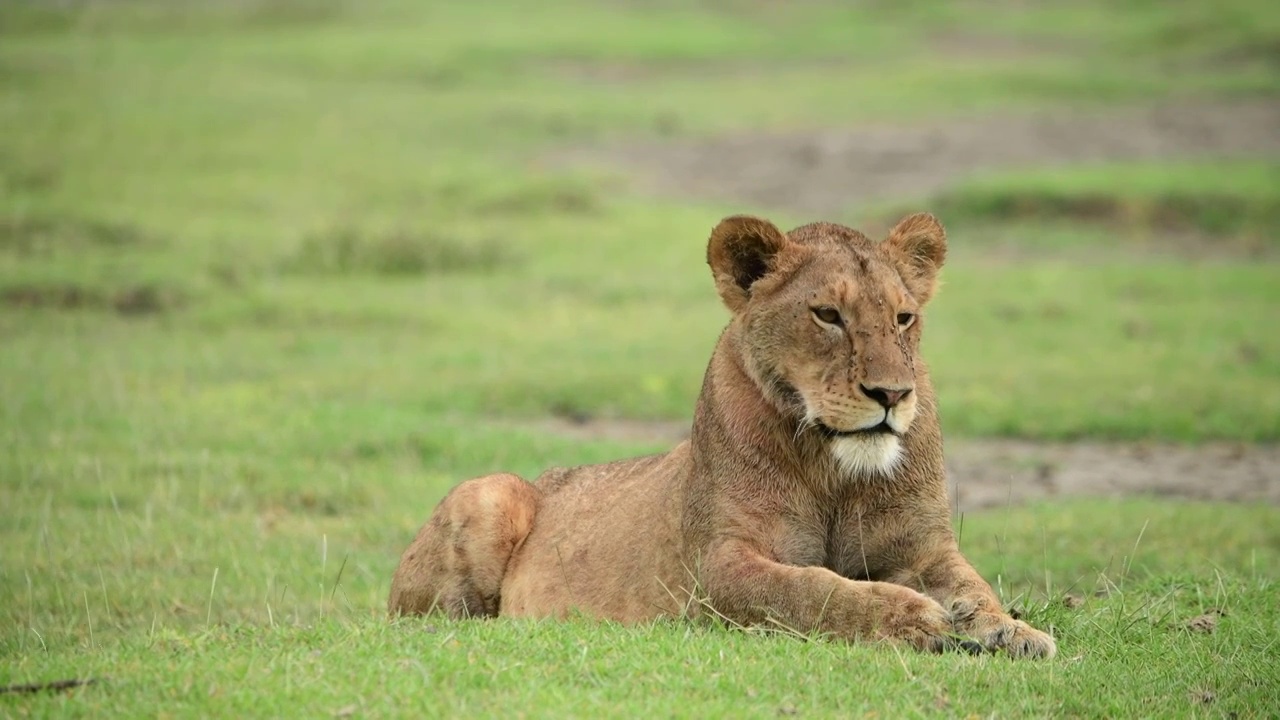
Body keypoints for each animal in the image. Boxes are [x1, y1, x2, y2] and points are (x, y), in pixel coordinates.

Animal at [386, 208, 1059, 655]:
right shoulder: (718, 568)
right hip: (489, 492)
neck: (835, 469)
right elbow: (814, 590)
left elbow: (974, 586)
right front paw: (916, 619)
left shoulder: (924, 547)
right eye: (828, 315)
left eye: (903, 317)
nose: (891, 395)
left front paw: (1013, 630)